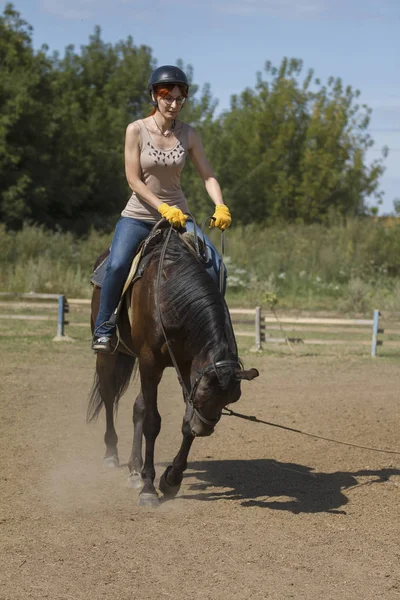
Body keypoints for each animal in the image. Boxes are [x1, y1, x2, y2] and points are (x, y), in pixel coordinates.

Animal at [87, 223, 260, 508]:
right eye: (204, 396)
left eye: (230, 399)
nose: (205, 429)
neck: (171, 295)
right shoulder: (150, 362)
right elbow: (152, 423)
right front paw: (149, 488)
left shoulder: (188, 368)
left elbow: (183, 423)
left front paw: (171, 479)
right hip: (110, 353)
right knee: (109, 395)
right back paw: (112, 453)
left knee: (137, 407)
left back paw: (134, 469)